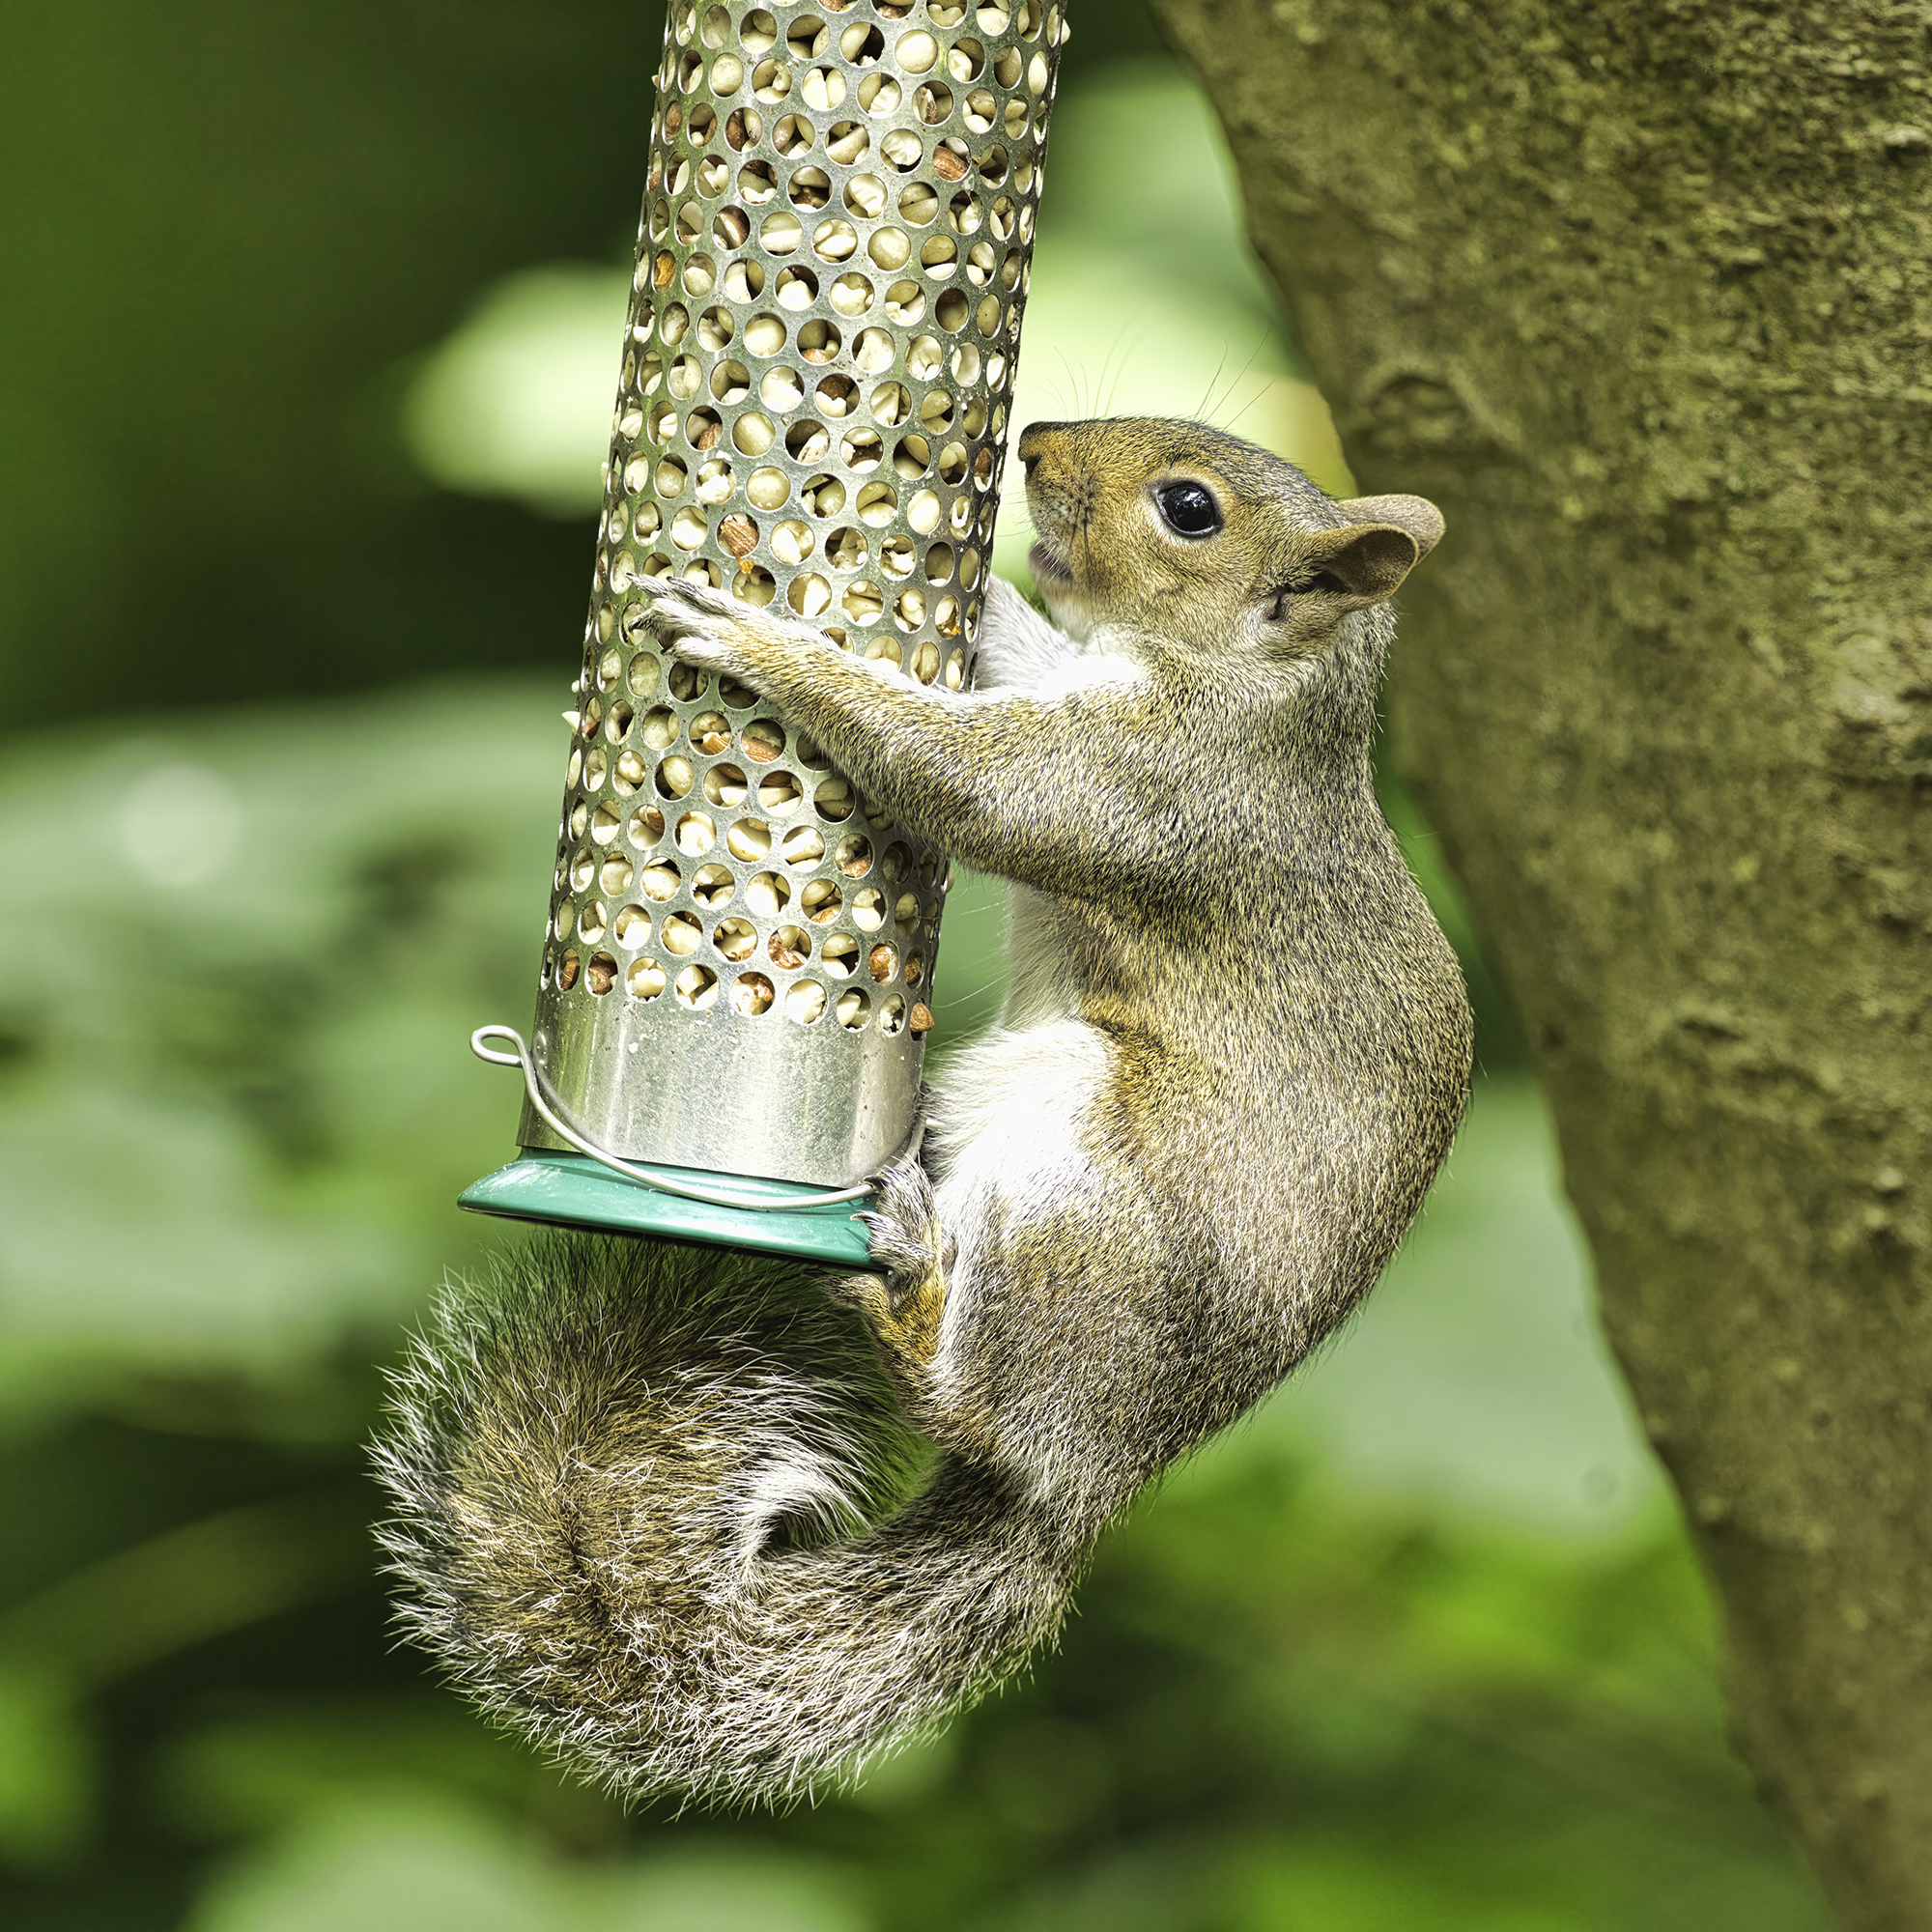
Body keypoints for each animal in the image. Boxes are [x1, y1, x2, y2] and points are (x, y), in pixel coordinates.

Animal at [375, 418, 1473, 1806]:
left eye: (1191, 509)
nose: (1037, 442)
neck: (1253, 687)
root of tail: (1088, 1477)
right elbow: (1018, 649)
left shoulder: (1145, 787)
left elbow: (958, 775)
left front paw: (761, 642)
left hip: (1076, 1165)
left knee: (963, 1392)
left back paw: (911, 1287)